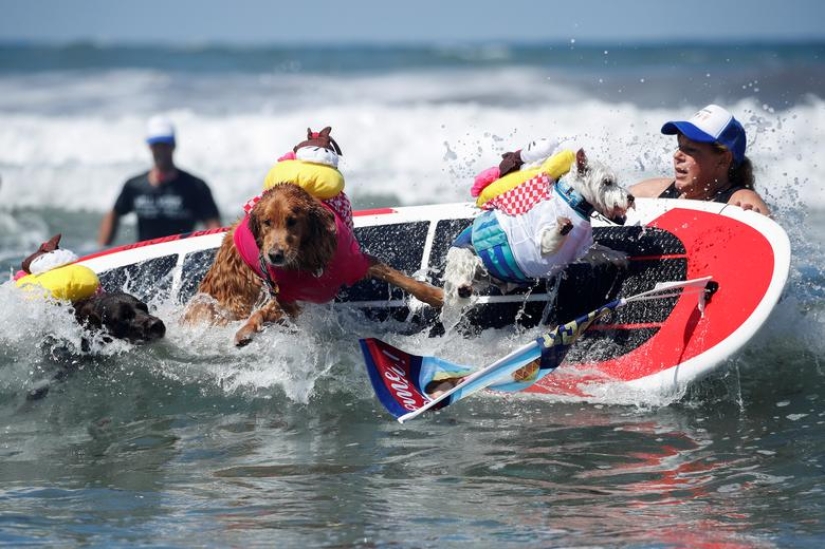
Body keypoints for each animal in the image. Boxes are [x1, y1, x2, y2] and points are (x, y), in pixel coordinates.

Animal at [185, 184, 444, 346]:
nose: (275, 255)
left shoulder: (355, 262)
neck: (309, 260)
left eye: (292, 221)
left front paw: (438, 296)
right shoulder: (287, 297)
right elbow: (265, 312)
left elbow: (403, 279)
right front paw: (246, 331)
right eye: (267, 222)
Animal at [444, 147, 632, 304]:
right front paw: (562, 226)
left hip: (495, 277)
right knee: (461, 275)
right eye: (606, 182)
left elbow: (602, 251)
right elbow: (552, 237)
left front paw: (619, 257)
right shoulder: (543, 242)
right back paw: (463, 288)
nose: (630, 198)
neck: (572, 201)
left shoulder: (583, 249)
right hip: (465, 255)